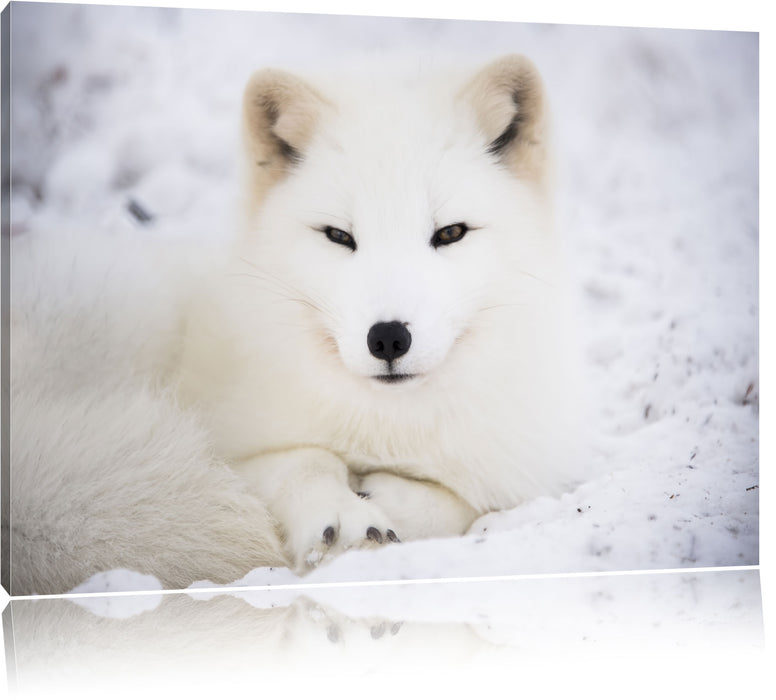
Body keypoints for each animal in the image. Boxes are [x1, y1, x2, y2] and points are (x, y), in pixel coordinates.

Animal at [8, 54, 581, 594]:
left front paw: (387, 499)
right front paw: (345, 518)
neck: (385, 426)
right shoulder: (234, 449)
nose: (388, 337)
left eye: (451, 233)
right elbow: (302, 460)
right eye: (338, 236)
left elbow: (460, 503)